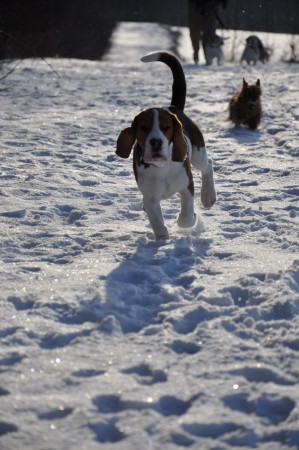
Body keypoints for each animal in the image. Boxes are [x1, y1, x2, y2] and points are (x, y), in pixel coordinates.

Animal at [116, 51, 217, 241]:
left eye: (166, 127)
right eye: (144, 127)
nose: (156, 142)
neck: (161, 167)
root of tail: (173, 106)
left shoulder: (186, 186)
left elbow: (185, 218)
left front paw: (192, 218)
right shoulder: (150, 197)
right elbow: (157, 222)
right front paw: (162, 239)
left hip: (198, 153)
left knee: (208, 166)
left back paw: (208, 196)